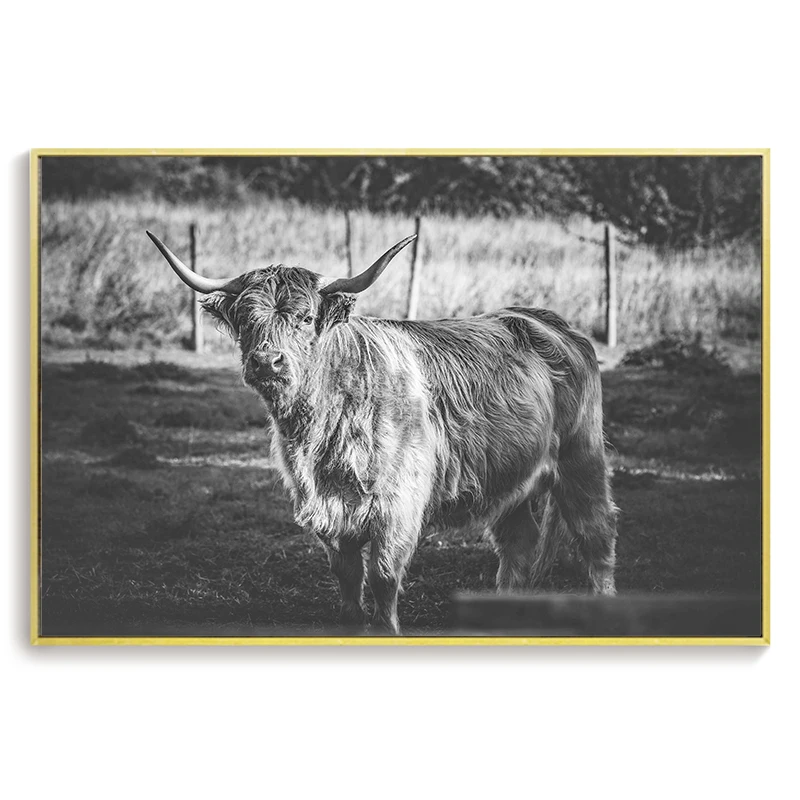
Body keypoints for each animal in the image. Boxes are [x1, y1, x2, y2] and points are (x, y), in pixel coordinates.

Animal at [147, 231, 618, 634]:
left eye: (306, 317)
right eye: (245, 319)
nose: (267, 361)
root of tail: (547, 319)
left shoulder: (398, 505)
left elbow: (383, 576)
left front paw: (387, 628)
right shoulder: (331, 511)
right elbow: (347, 576)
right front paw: (353, 624)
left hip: (582, 460)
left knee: (596, 536)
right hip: (510, 476)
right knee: (518, 543)